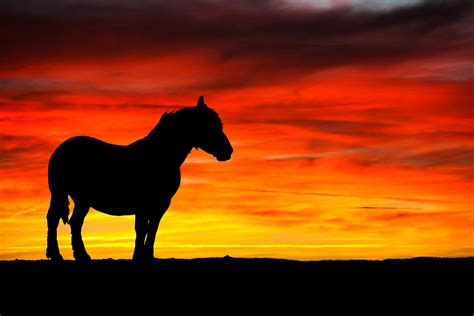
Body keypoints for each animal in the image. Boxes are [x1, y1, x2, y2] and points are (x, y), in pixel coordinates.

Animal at [45, 96, 234, 262]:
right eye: (209, 125)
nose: (228, 151)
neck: (159, 156)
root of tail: (61, 148)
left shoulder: (161, 204)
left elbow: (152, 229)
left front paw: (148, 256)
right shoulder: (143, 204)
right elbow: (141, 228)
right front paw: (138, 256)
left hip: (82, 200)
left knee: (75, 223)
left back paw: (81, 256)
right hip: (60, 193)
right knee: (54, 219)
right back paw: (56, 255)